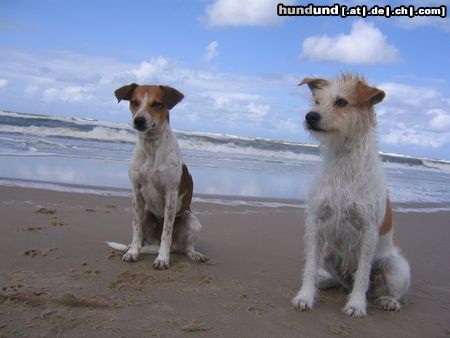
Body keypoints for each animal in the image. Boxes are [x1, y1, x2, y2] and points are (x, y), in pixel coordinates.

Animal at [107, 84, 207, 270]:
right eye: (134, 101)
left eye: (157, 103)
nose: (139, 120)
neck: (151, 145)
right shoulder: (136, 193)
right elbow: (136, 229)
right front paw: (133, 253)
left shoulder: (170, 194)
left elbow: (166, 232)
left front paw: (162, 258)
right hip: (146, 214)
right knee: (142, 239)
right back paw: (132, 248)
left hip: (191, 219)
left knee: (187, 247)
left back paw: (194, 254)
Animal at [292, 74, 412, 316]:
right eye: (317, 101)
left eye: (341, 102)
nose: (310, 116)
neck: (343, 162)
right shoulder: (315, 224)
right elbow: (310, 266)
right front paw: (305, 296)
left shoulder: (368, 231)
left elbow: (363, 275)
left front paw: (356, 304)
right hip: (329, 253)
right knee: (337, 279)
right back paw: (324, 281)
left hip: (394, 266)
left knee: (389, 290)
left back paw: (388, 300)